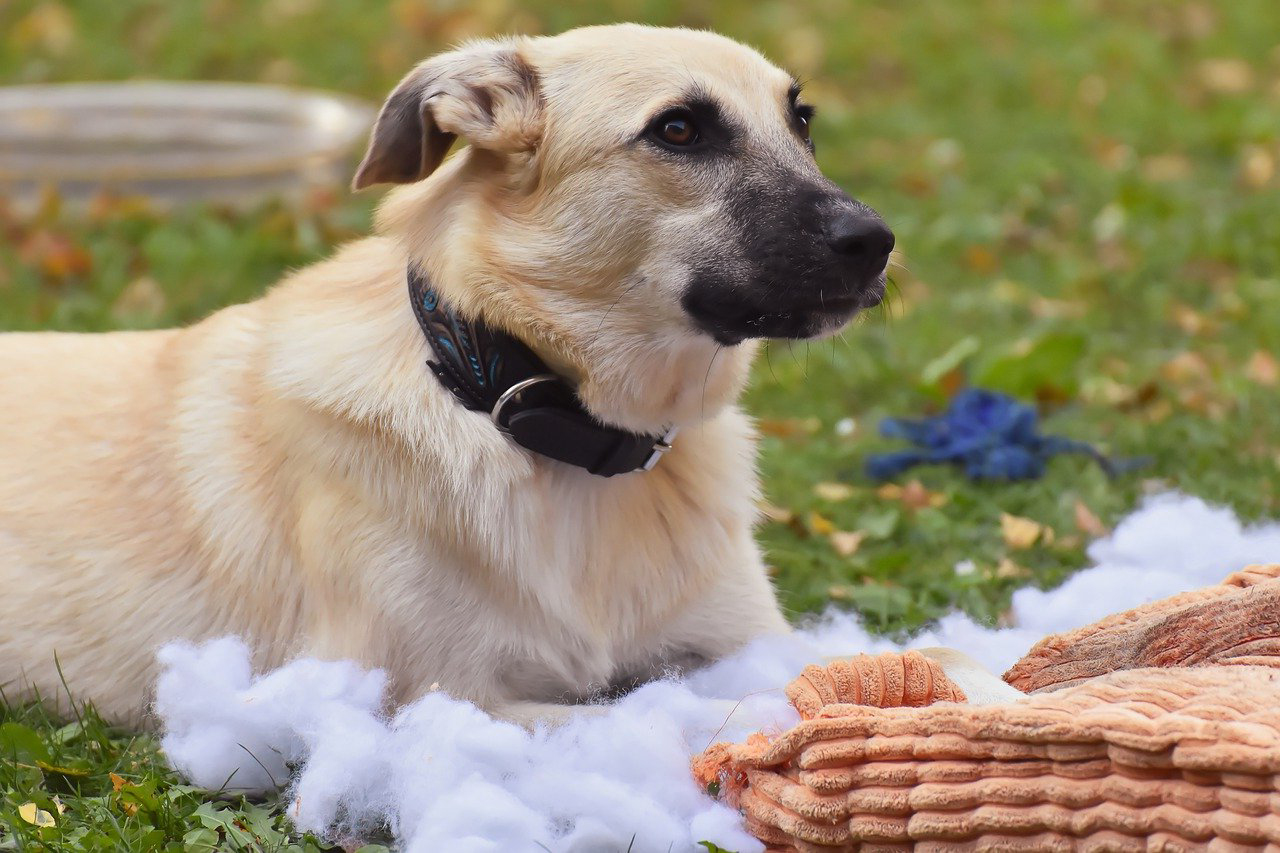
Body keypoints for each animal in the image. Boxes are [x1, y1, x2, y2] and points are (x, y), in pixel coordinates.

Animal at [0, 28, 896, 732]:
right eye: (679, 129)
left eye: (802, 119)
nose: (876, 241)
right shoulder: (434, 697)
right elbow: (681, 713)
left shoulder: (746, 639)